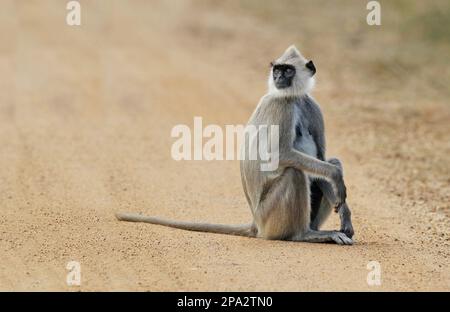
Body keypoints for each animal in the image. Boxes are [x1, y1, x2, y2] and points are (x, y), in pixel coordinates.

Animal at [117, 45, 356, 245]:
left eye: (288, 70)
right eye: (277, 70)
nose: (278, 77)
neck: (293, 98)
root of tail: (255, 223)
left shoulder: (312, 107)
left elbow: (322, 158)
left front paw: (345, 214)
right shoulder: (280, 105)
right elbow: (280, 154)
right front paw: (336, 177)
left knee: (329, 161)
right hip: (269, 214)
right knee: (294, 172)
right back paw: (303, 234)